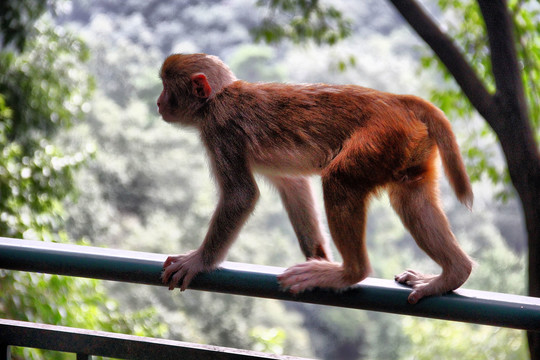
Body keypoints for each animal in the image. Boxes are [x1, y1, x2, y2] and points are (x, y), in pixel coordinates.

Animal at [157, 52, 472, 304]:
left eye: (165, 87)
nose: (158, 102)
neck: (216, 99)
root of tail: (395, 101)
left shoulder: (220, 130)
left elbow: (241, 195)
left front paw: (198, 261)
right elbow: (292, 184)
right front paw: (317, 254)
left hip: (381, 137)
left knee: (340, 179)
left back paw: (350, 272)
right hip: (407, 146)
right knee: (412, 199)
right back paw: (454, 273)